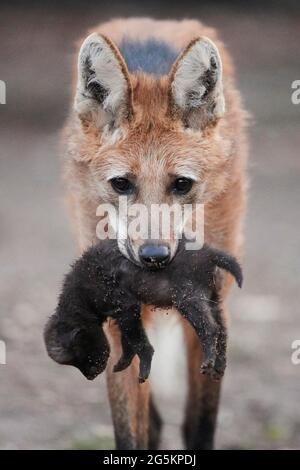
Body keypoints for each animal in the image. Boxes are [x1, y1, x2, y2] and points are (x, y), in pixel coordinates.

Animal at [62, 18, 246, 450]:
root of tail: (154, 23)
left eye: (181, 184)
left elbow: (200, 424)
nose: (154, 257)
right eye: (121, 184)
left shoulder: (211, 308)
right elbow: (131, 428)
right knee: (154, 419)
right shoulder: (117, 315)